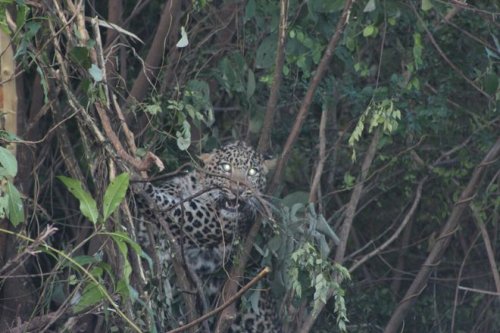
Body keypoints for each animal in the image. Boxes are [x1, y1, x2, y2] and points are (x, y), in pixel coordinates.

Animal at [133, 141, 282, 332]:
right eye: (226, 167)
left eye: (252, 172)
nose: (238, 190)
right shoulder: (146, 229)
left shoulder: (210, 221)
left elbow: (178, 209)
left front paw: (142, 188)